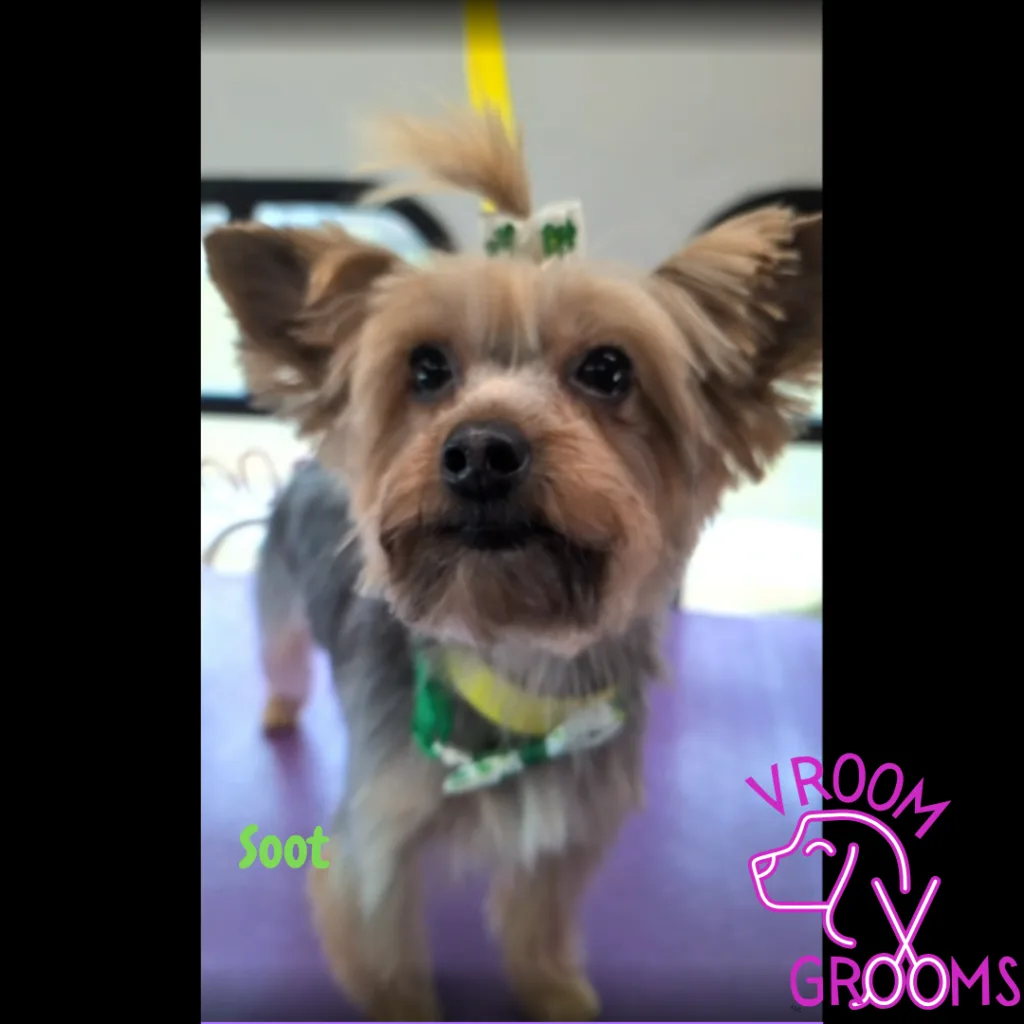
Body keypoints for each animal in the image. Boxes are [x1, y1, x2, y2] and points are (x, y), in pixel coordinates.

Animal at [203, 108, 822, 1022]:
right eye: (426, 367)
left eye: (608, 368)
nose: (480, 452)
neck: (517, 671)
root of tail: (312, 467)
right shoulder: (375, 852)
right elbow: (391, 971)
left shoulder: (567, 835)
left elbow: (538, 929)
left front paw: (558, 996)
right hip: (278, 604)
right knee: (280, 661)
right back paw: (280, 710)